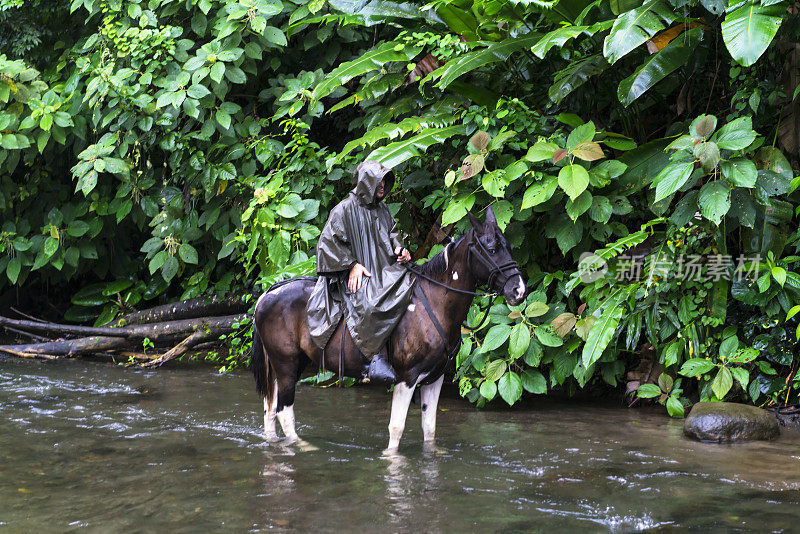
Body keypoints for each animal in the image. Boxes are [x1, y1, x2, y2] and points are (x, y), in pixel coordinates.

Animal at [250, 207, 524, 450]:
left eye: (510, 248)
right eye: (491, 249)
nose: (519, 290)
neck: (434, 303)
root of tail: (267, 295)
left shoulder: (434, 378)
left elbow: (429, 429)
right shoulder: (407, 377)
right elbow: (396, 428)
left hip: (291, 366)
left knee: (270, 411)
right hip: (286, 365)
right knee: (284, 412)